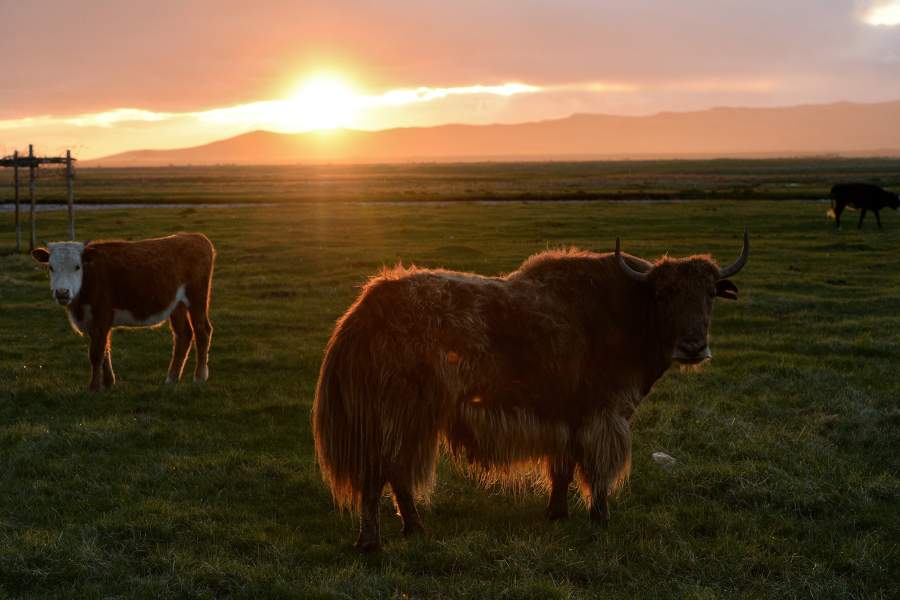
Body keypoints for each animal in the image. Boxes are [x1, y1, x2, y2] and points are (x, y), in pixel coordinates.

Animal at [32, 232, 216, 392]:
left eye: (77, 267)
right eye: (51, 267)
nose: (62, 292)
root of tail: (194, 236)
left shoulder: (102, 315)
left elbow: (96, 353)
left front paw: (94, 387)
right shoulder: (92, 321)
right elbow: (104, 350)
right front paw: (108, 382)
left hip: (197, 298)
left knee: (202, 331)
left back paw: (199, 377)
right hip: (177, 304)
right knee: (183, 334)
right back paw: (171, 378)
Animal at [312, 232, 748, 552]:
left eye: (710, 294)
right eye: (664, 295)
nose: (693, 346)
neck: (630, 311)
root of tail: (362, 312)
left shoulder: (566, 417)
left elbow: (563, 467)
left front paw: (557, 514)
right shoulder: (604, 414)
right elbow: (598, 469)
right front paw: (601, 518)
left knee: (395, 471)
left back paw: (413, 531)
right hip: (401, 414)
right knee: (382, 472)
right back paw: (373, 542)